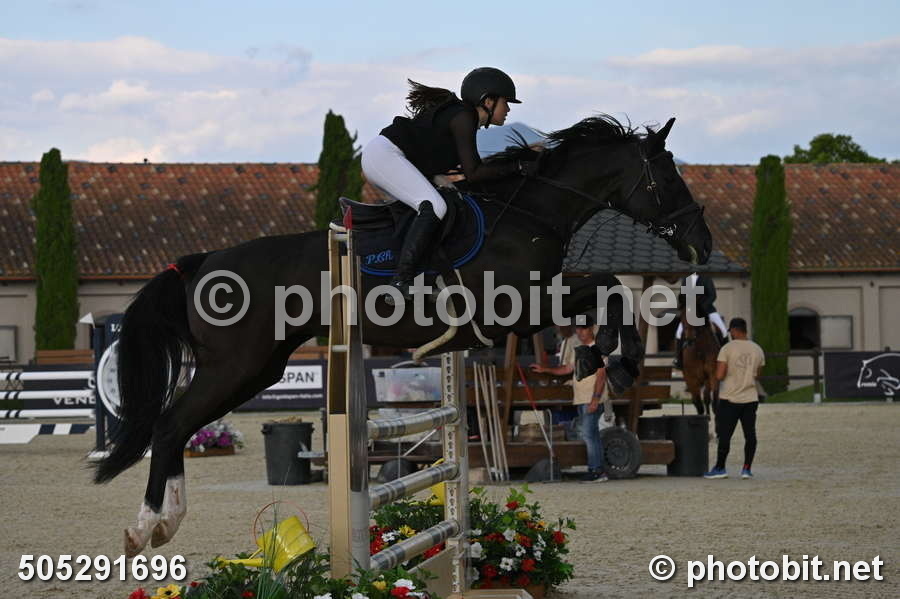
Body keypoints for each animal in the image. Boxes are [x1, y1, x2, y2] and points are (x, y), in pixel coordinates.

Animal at [93, 115, 713, 556]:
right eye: (667, 177)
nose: (702, 244)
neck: (530, 214)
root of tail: (202, 262)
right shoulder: (514, 309)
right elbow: (608, 288)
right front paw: (615, 361)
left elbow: (608, 291)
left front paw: (609, 360)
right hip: (236, 365)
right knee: (169, 426)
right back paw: (146, 528)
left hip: (254, 369)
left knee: (177, 428)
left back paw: (164, 525)